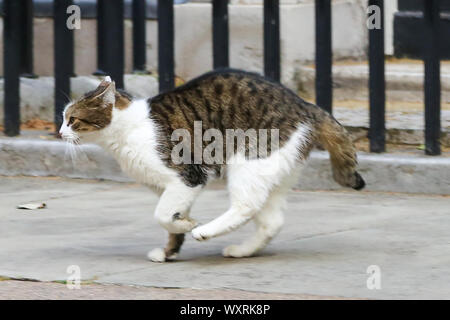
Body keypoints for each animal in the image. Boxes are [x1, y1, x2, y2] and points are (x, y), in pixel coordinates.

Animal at [58, 69, 364, 262]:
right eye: (63, 119)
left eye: (72, 120)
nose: (59, 133)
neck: (129, 128)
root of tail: (305, 105)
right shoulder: (166, 188)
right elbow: (169, 220)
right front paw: (170, 251)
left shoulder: (187, 177)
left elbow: (162, 215)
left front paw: (189, 225)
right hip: (272, 171)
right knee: (271, 220)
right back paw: (243, 251)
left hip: (249, 160)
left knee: (245, 206)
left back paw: (205, 232)